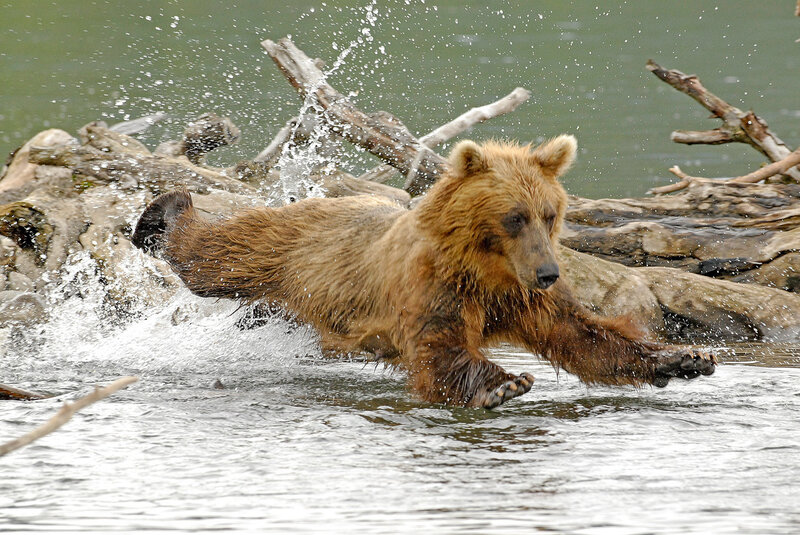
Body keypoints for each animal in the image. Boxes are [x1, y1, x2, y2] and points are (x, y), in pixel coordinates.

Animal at [132, 136, 716, 408]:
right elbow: (439, 347)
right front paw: (505, 383)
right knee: (213, 258)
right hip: (284, 247)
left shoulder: (522, 297)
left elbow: (583, 334)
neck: (487, 270)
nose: (549, 272)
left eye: (550, 213)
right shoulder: (434, 284)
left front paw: (685, 357)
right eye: (515, 216)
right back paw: (163, 211)